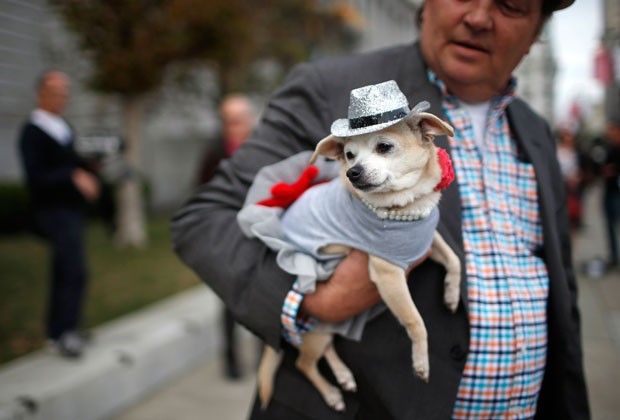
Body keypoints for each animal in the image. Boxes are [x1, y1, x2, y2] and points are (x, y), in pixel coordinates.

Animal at [254, 81, 462, 410]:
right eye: (349, 155)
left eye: (384, 147)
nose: (353, 172)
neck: (404, 209)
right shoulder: (389, 275)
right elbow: (415, 321)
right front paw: (421, 363)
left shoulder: (428, 242)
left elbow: (455, 260)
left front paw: (452, 295)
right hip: (318, 324)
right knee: (303, 363)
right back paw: (331, 394)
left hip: (326, 327)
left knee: (320, 351)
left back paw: (343, 376)